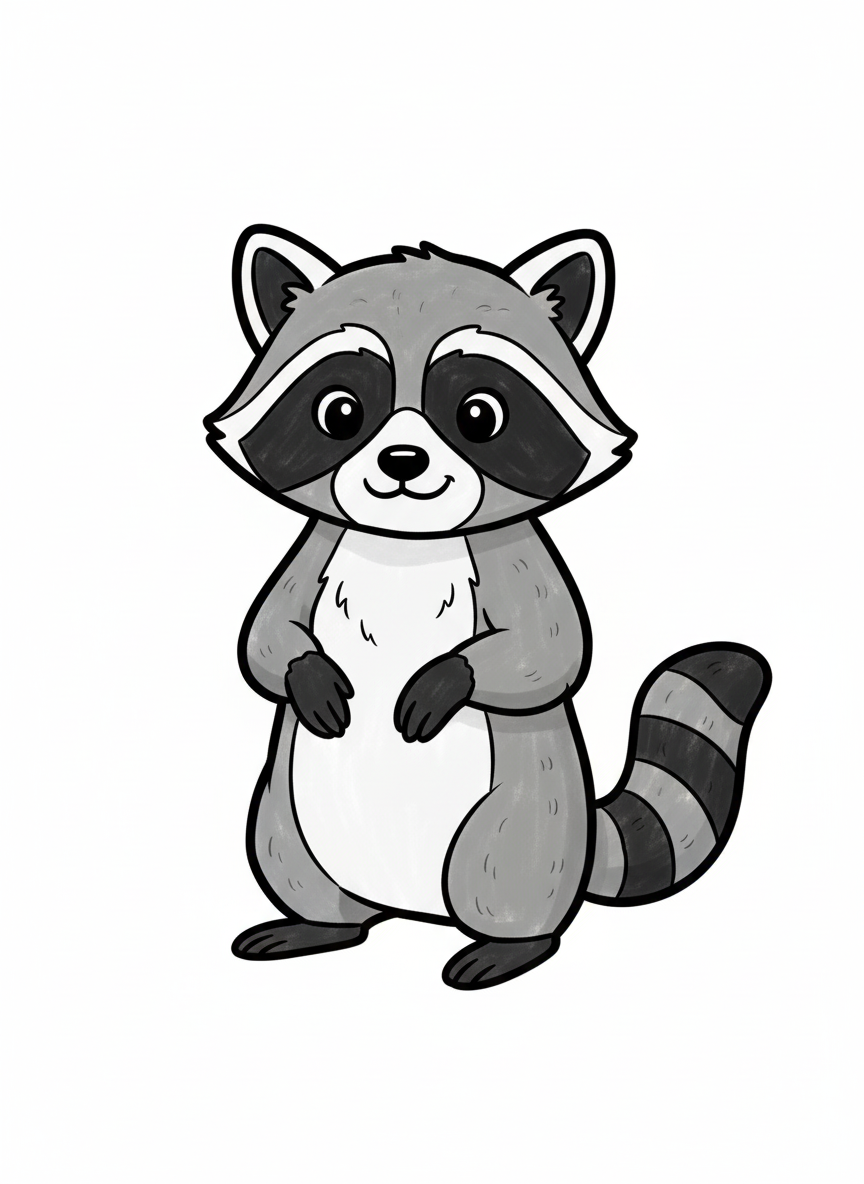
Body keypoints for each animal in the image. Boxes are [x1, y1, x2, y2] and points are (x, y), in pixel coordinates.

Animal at [204, 226, 771, 990]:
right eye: (340, 412)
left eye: (480, 415)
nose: (403, 462)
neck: (406, 545)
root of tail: (411, 910)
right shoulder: (317, 546)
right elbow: (266, 635)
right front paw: (305, 672)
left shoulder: (515, 557)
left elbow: (550, 651)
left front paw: (450, 677)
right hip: (285, 813)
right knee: (292, 859)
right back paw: (320, 923)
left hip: (523, 821)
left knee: (504, 873)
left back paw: (511, 943)